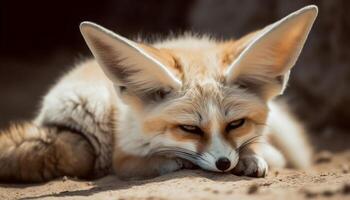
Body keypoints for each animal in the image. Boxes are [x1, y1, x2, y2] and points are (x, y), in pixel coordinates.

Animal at [0, 6, 318, 182]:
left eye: (236, 124)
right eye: (189, 129)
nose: (223, 164)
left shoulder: (270, 146)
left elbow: (260, 150)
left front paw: (250, 158)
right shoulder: (122, 154)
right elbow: (133, 163)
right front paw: (170, 160)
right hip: (89, 110)